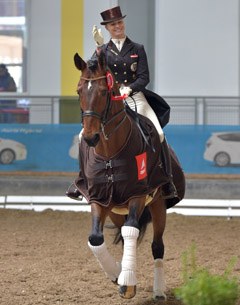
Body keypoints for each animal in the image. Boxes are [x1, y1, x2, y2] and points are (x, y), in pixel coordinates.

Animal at [73, 50, 186, 300]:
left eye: (104, 91)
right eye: (78, 90)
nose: (91, 138)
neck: (110, 152)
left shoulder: (137, 195)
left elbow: (133, 230)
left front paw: (127, 282)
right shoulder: (99, 198)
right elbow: (95, 239)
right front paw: (118, 275)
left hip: (158, 205)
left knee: (156, 246)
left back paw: (158, 291)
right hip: (117, 211)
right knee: (124, 238)